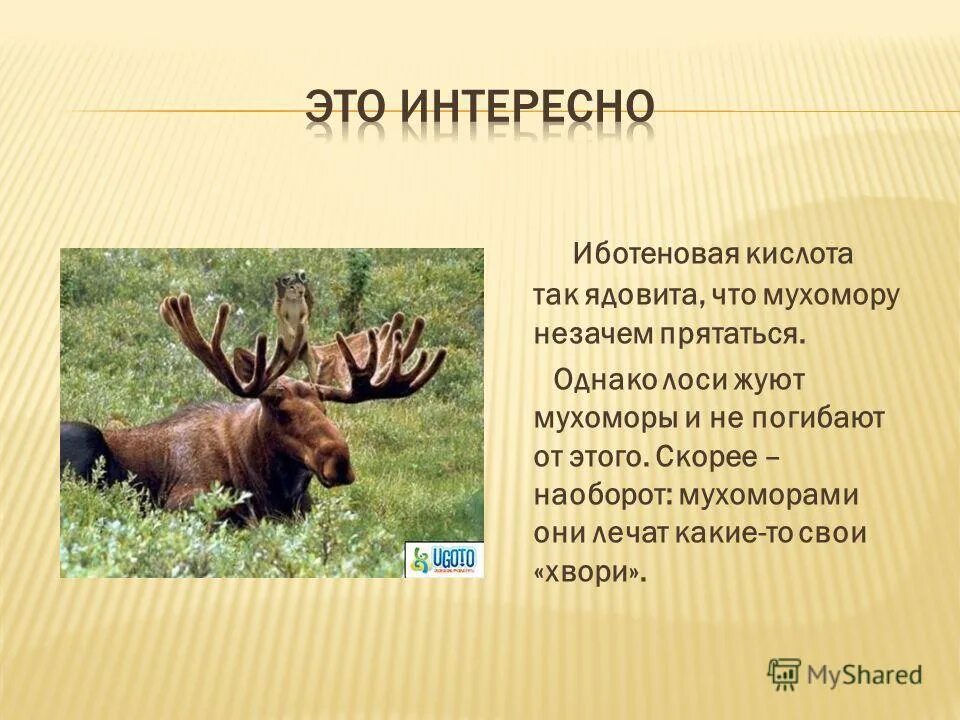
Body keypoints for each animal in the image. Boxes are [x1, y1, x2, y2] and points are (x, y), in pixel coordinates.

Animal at [59, 294, 446, 524]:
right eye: (278, 407)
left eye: (325, 408)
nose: (339, 460)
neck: (271, 487)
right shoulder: (183, 500)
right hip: (83, 436)